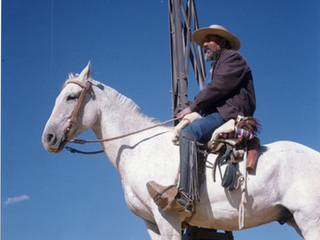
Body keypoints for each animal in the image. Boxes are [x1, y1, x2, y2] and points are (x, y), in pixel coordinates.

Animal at [42, 62, 320, 240]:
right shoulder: (151, 223)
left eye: (71, 97)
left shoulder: (167, 218)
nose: (48, 138)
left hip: (310, 221)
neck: (139, 147)